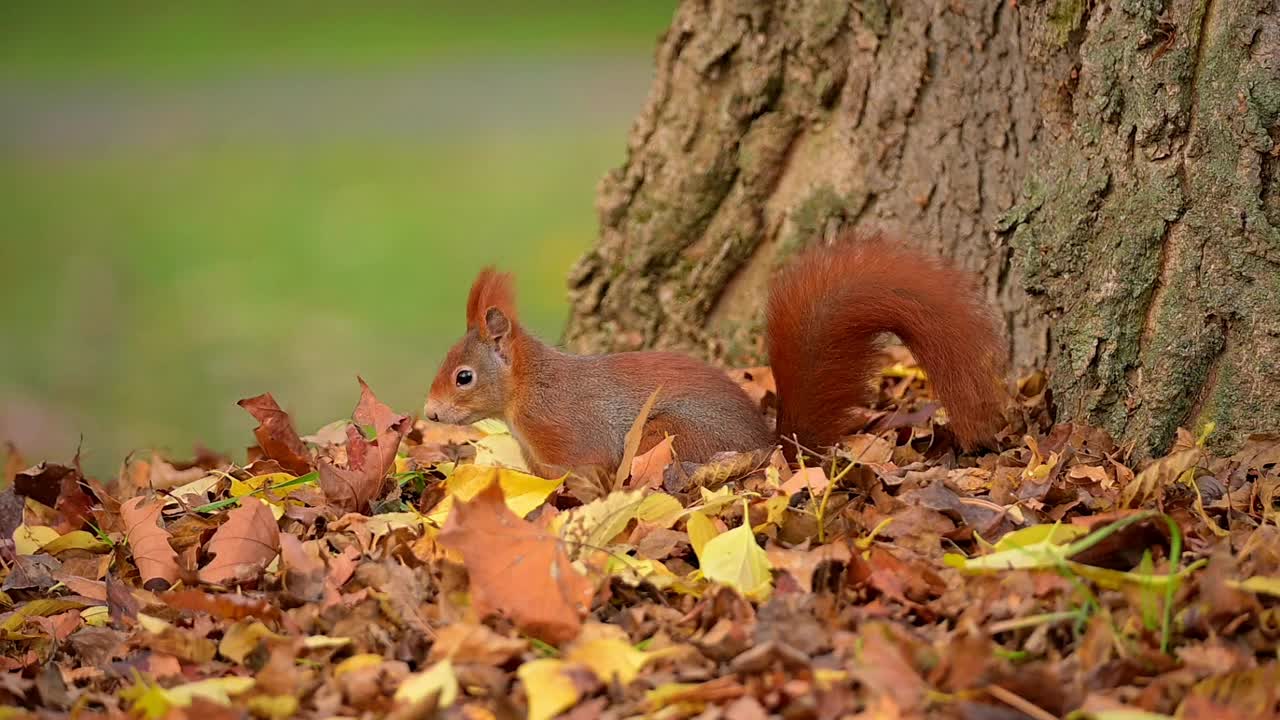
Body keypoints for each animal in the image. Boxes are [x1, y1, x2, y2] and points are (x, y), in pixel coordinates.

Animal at [424, 229, 1003, 476]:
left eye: (463, 377)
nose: (428, 414)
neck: (527, 391)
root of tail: (775, 450)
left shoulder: (570, 439)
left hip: (668, 437)